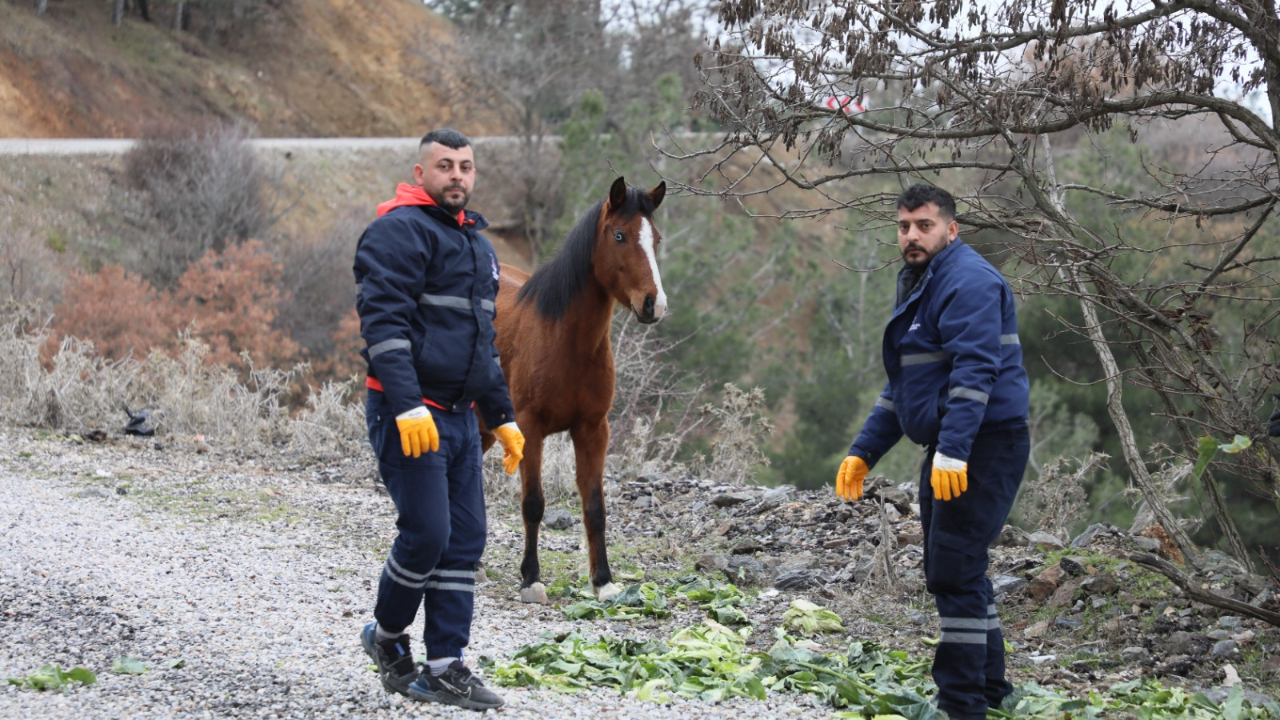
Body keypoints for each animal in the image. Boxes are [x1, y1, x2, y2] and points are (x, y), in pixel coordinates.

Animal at [476, 175, 665, 599]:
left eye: (657, 238)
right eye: (619, 235)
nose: (654, 304)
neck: (565, 340)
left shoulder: (593, 429)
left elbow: (595, 507)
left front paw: (604, 582)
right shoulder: (530, 428)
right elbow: (533, 503)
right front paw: (531, 578)